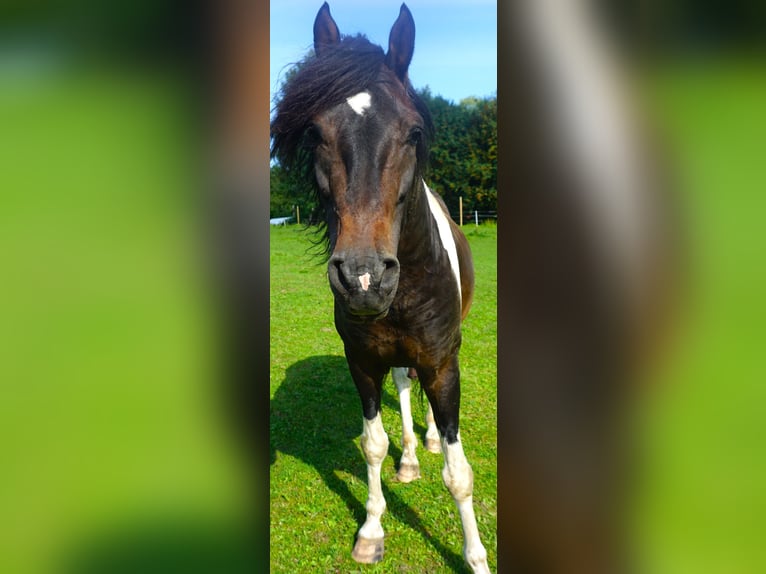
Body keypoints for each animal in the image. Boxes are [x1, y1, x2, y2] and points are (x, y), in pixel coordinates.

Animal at [270, 3, 490, 573]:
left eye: (412, 132)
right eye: (316, 134)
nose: (364, 277)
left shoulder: (443, 361)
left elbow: (460, 473)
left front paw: (476, 556)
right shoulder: (363, 363)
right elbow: (372, 444)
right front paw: (371, 529)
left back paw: (428, 441)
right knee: (405, 389)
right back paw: (410, 457)